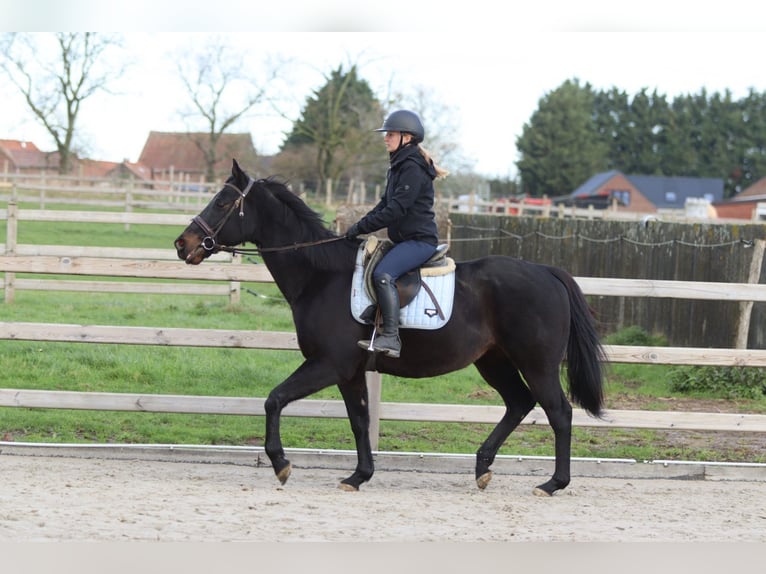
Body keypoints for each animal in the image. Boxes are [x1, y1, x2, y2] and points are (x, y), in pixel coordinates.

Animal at [174, 159, 606, 496]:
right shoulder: (349, 372)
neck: (320, 277)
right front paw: (358, 476)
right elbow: (359, 421)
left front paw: (281, 464)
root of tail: (548, 272)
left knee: (559, 412)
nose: (183, 244)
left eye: (223, 202)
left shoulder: (328, 364)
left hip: (537, 364)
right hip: (493, 361)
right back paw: (483, 468)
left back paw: (552, 483)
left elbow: (274, 399)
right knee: (518, 403)